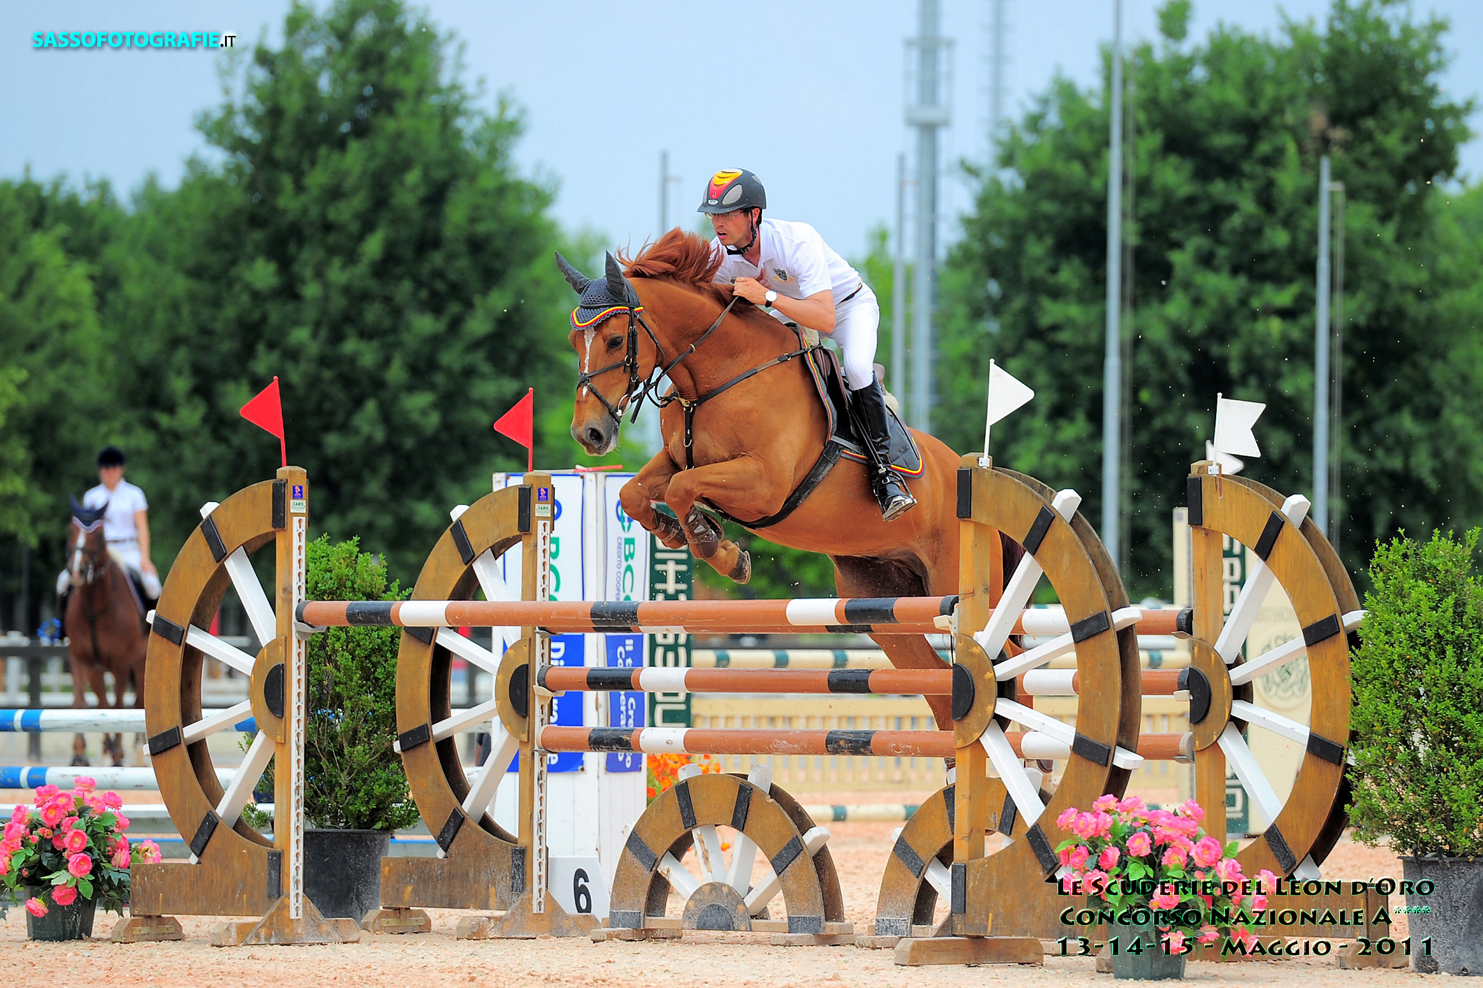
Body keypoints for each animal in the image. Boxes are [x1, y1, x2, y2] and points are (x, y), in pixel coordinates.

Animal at [63, 501, 147, 766]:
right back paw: (106, 748)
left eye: (99, 535)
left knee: (138, 702)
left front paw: (118, 754)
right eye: (71, 531)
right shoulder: (81, 660)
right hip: (97, 669)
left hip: (140, 663)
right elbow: (82, 705)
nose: (77, 571)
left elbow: (119, 707)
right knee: (103, 702)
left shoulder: (121, 662)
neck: (94, 607)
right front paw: (80, 754)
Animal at [560, 231, 1018, 732]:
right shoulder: (677, 461)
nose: (589, 434)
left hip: (959, 584)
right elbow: (634, 493)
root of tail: (976, 474)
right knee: (935, 683)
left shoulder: (763, 483)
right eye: (574, 340)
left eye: (615, 340)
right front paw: (679, 533)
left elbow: (683, 490)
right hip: (884, 603)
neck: (721, 373)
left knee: (1007, 658)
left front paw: (720, 551)